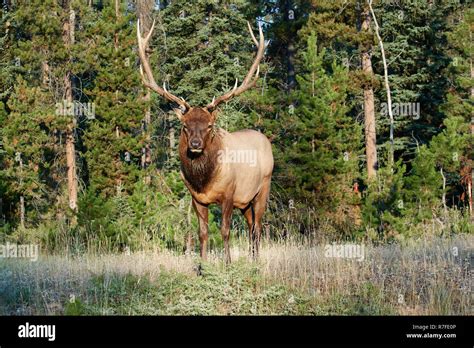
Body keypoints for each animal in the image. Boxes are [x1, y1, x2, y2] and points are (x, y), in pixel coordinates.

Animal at [136, 19, 274, 264]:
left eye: (209, 126)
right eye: (185, 126)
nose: (195, 144)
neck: (204, 180)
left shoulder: (229, 194)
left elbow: (225, 231)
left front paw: (228, 263)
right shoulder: (197, 198)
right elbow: (202, 232)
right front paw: (202, 264)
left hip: (262, 189)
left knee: (257, 227)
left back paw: (256, 262)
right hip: (245, 202)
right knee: (251, 227)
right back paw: (251, 259)